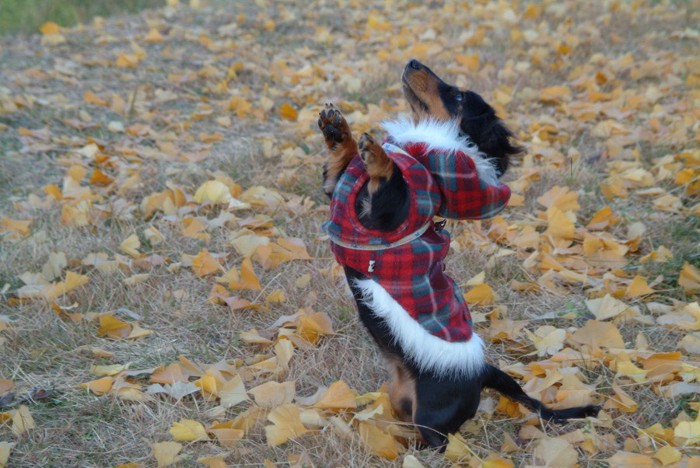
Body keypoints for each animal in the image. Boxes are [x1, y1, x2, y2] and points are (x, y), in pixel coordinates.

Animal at [320, 60, 600, 448]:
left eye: (457, 97)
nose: (413, 62)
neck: (426, 157)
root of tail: (482, 370)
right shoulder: (337, 188)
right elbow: (342, 160)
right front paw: (337, 129)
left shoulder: (385, 213)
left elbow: (389, 176)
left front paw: (378, 152)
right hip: (401, 398)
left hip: (432, 417)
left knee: (439, 442)